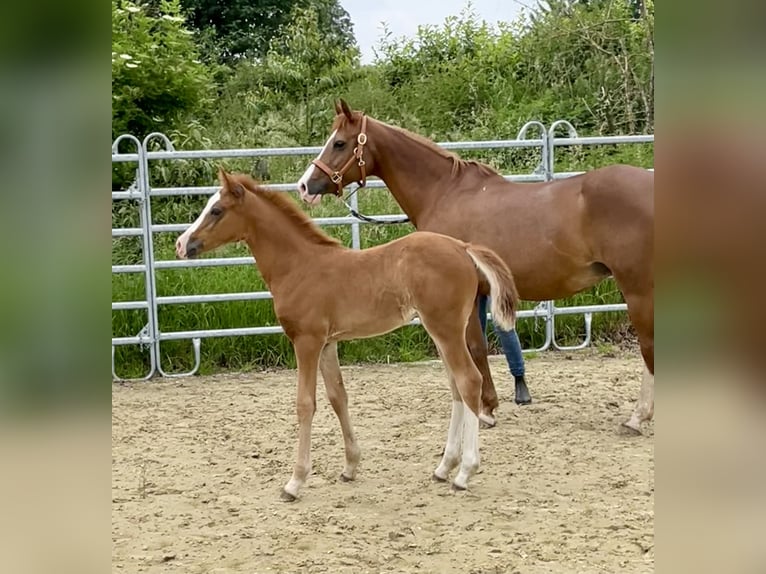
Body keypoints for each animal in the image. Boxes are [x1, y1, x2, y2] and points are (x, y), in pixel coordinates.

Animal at [177, 170, 520, 500]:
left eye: (217, 210)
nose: (182, 244)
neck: (299, 266)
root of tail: (463, 247)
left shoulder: (307, 341)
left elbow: (305, 403)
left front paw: (295, 482)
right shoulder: (328, 343)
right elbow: (337, 397)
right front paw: (350, 466)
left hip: (445, 329)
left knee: (469, 381)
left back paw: (464, 473)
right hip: (441, 331)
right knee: (455, 388)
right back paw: (443, 467)